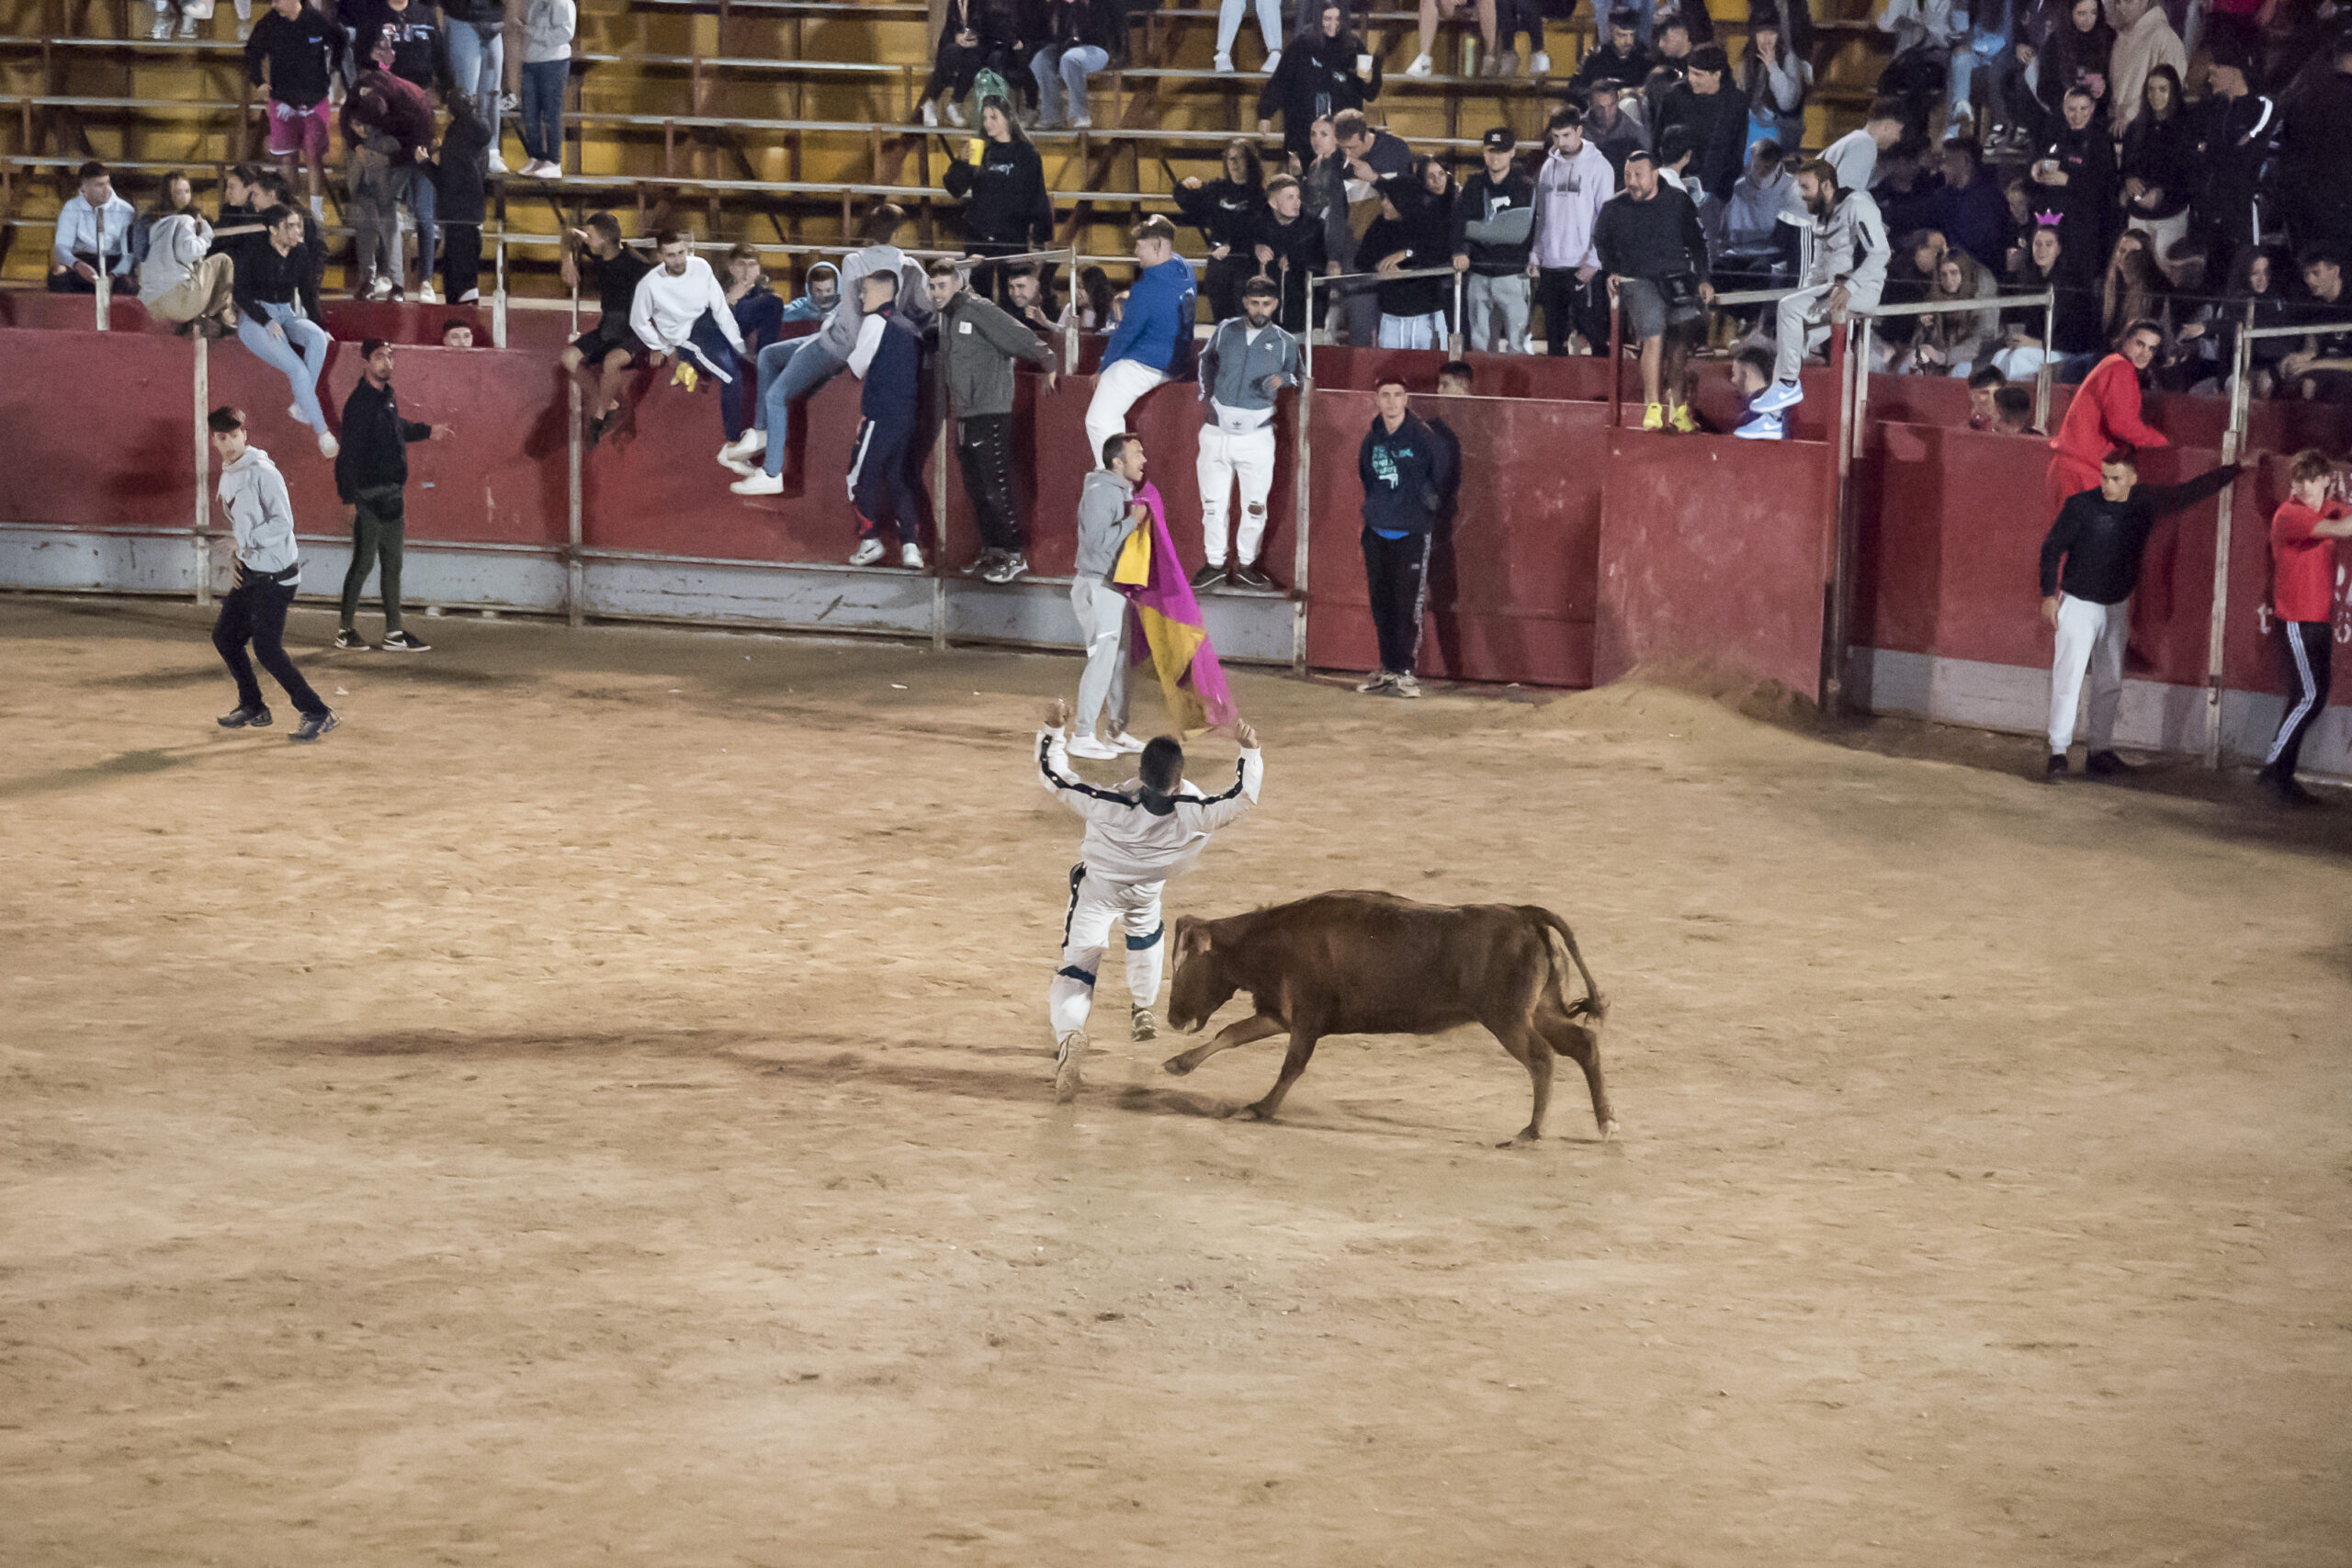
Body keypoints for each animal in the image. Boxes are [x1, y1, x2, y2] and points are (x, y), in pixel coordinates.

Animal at [1161, 893, 1618, 1142]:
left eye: (1183, 967)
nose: (1173, 1019)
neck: (1271, 938)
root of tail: (1524, 913)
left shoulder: (1307, 1018)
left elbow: (1292, 1065)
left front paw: (1259, 1108)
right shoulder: (1281, 1014)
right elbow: (1231, 1033)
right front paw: (1179, 1064)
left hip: (1508, 1019)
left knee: (1542, 1059)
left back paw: (1532, 1131)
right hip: (1540, 1010)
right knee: (1584, 1044)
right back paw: (1607, 1123)